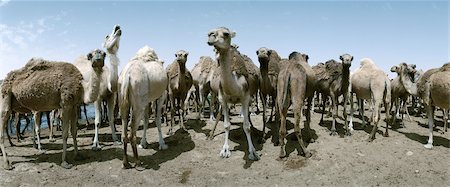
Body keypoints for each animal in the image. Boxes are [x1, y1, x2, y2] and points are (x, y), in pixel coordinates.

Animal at [207, 26, 260, 161]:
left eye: (226, 33)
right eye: (210, 32)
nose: (210, 35)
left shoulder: (246, 98)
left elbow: (246, 126)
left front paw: (253, 152)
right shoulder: (223, 99)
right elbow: (226, 125)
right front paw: (225, 150)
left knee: (248, 117)